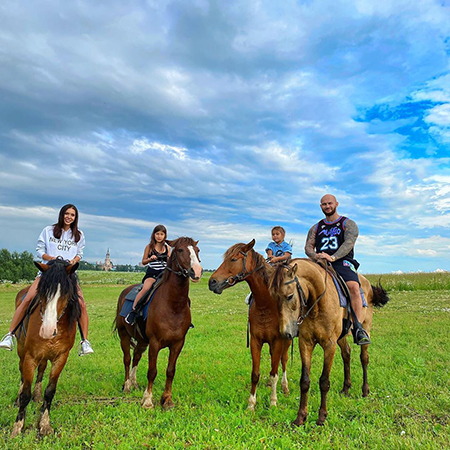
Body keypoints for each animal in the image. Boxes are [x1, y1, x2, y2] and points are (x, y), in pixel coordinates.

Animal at [10, 258, 81, 438]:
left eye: (66, 293)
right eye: (42, 292)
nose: (48, 330)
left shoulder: (61, 357)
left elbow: (50, 391)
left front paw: (44, 424)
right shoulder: (30, 356)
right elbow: (25, 393)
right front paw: (17, 427)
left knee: (41, 372)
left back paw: (37, 395)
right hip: (21, 349)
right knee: (22, 373)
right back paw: (18, 398)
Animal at [114, 237, 202, 410]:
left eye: (197, 250)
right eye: (180, 250)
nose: (197, 271)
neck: (173, 306)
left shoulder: (177, 343)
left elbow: (170, 371)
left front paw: (167, 400)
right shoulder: (154, 343)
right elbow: (152, 371)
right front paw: (147, 400)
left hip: (142, 340)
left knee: (136, 356)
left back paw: (133, 383)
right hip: (124, 335)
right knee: (127, 358)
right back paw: (127, 385)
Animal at [208, 241, 292, 410]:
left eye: (233, 259)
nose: (211, 282)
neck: (266, 305)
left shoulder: (278, 341)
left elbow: (275, 372)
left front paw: (273, 402)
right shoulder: (255, 341)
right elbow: (255, 374)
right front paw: (251, 404)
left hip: (287, 340)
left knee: (284, 360)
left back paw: (285, 387)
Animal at [268, 258, 388, 428]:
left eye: (290, 296)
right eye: (272, 296)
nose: (286, 333)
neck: (317, 304)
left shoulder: (329, 345)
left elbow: (324, 381)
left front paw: (321, 417)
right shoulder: (305, 343)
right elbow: (304, 381)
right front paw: (300, 417)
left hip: (366, 327)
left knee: (364, 358)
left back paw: (365, 390)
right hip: (341, 336)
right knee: (346, 354)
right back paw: (346, 389)